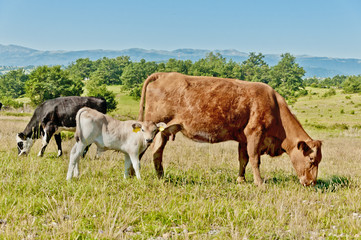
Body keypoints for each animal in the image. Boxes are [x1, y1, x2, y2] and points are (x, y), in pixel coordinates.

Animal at [137, 72, 320, 187]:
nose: (312, 183)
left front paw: (241, 180)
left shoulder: (243, 139)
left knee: (157, 151)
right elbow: (254, 159)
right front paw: (259, 182)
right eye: (311, 160)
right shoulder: (254, 133)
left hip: (164, 130)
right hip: (151, 125)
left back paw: (161, 176)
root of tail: (164, 74)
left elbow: (243, 160)